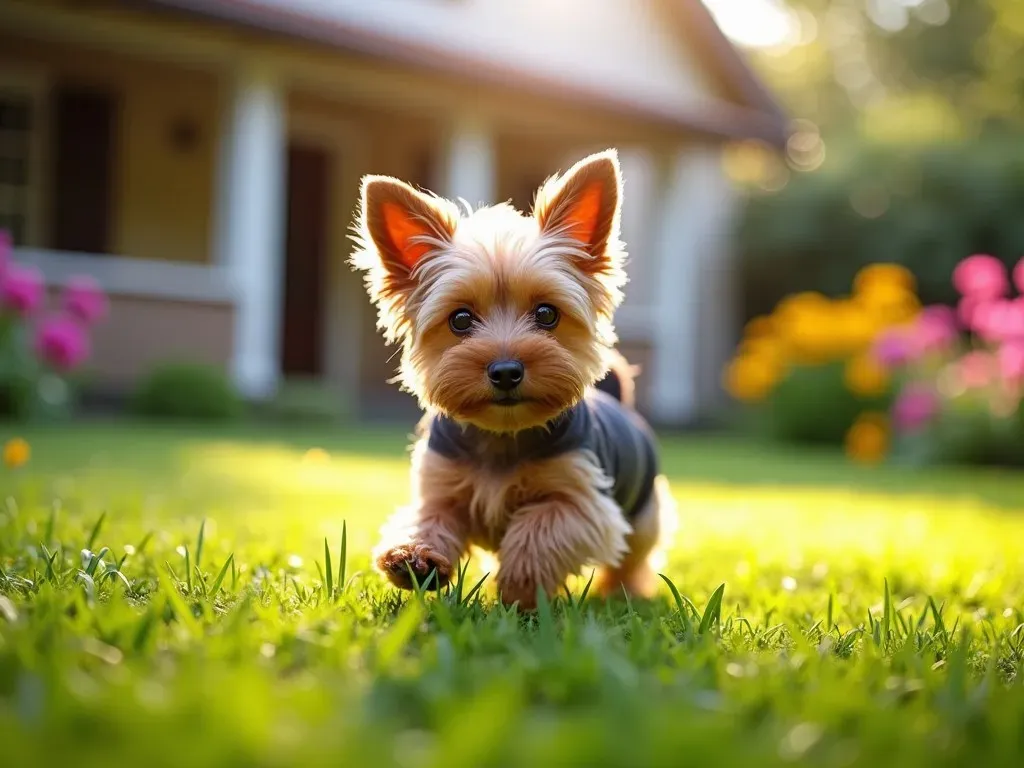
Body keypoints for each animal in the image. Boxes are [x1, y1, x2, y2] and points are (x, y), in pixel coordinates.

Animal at [348, 147, 675, 610]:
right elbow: (425, 517)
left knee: (634, 556)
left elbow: (539, 528)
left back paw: (626, 593)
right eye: (460, 319)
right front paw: (413, 557)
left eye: (547, 313)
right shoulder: (440, 488)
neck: (501, 435)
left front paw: (520, 588)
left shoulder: (585, 503)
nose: (505, 371)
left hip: (644, 511)